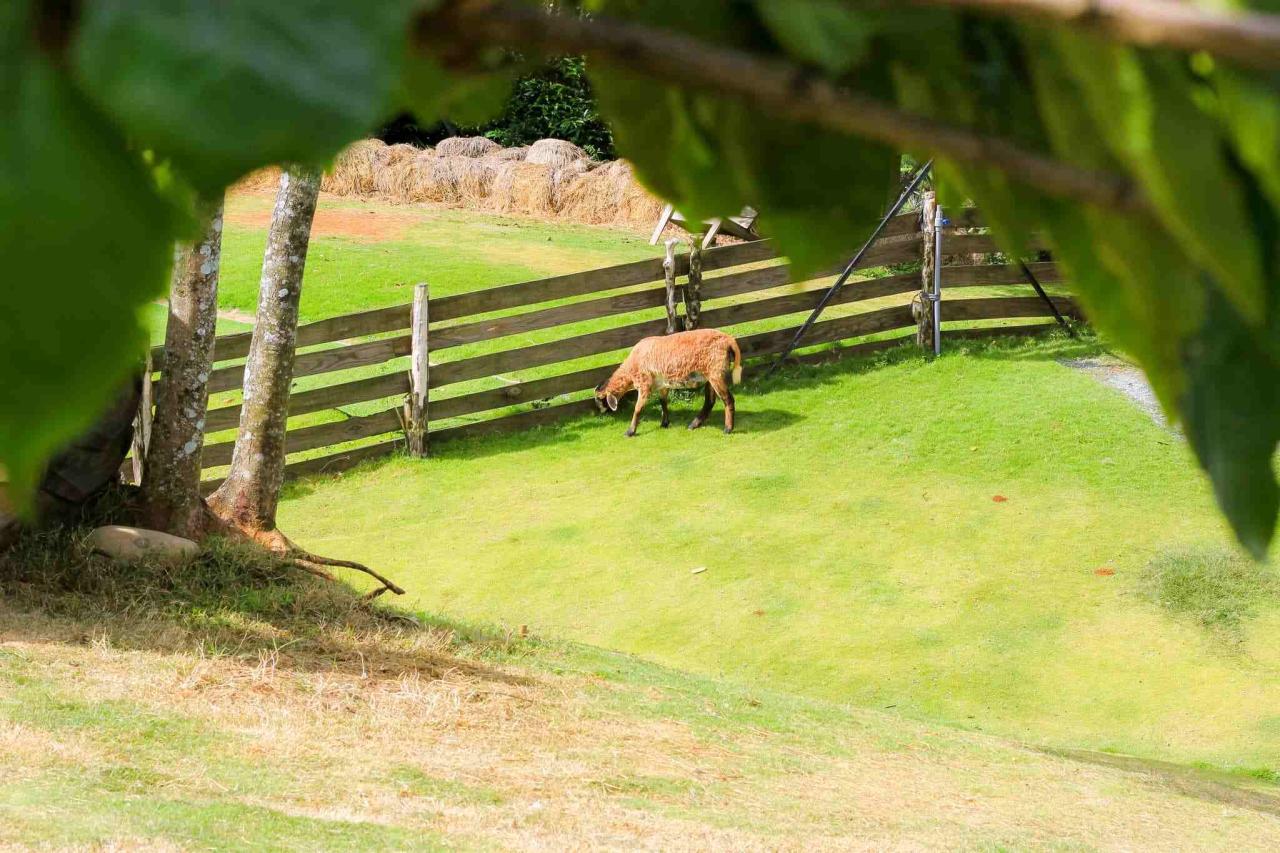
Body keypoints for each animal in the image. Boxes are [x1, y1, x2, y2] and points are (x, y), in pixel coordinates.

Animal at [591, 324, 742, 432]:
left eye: (599, 398)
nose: (600, 412)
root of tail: (728, 339)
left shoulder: (644, 384)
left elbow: (638, 408)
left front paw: (630, 431)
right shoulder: (662, 384)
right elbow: (663, 402)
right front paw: (664, 423)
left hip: (716, 372)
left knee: (728, 399)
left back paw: (728, 429)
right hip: (710, 375)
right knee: (710, 401)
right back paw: (693, 425)